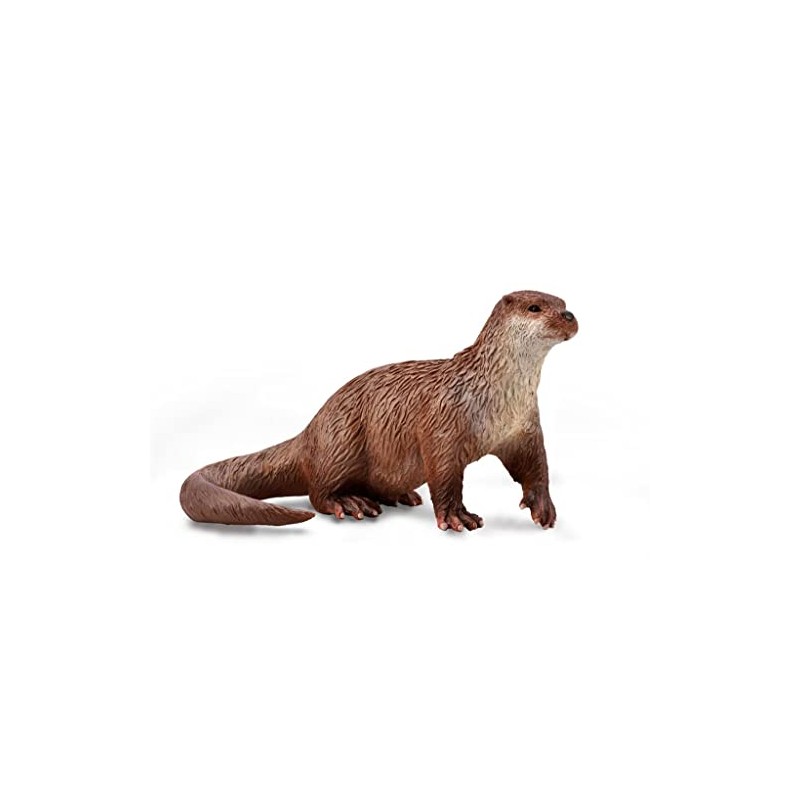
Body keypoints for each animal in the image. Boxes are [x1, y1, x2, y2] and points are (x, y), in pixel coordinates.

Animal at [180, 290, 578, 531]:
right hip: (340, 442)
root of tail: (310, 431)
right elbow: (444, 474)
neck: (494, 395)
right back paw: (352, 503)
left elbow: (535, 466)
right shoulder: (442, 423)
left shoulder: (523, 428)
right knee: (318, 493)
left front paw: (544, 508)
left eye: (562, 301)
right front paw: (457, 516)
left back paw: (398, 496)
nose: (569, 315)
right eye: (535, 307)